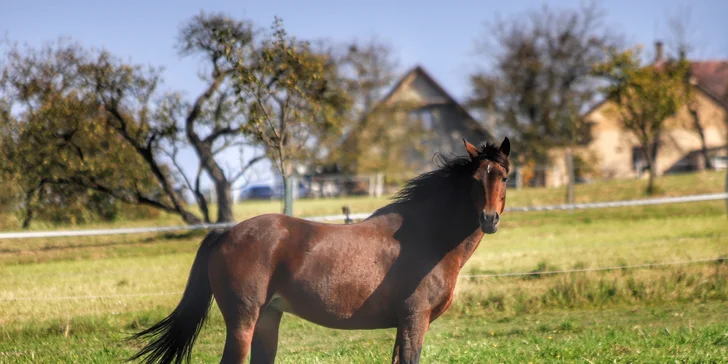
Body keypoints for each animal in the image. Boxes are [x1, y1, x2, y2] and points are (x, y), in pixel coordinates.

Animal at [126, 137, 512, 364]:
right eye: (476, 179)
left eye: (504, 177)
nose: (489, 219)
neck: (426, 237)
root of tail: (226, 234)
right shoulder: (414, 321)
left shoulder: (405, 325)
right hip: (242, 321)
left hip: (267, 319)